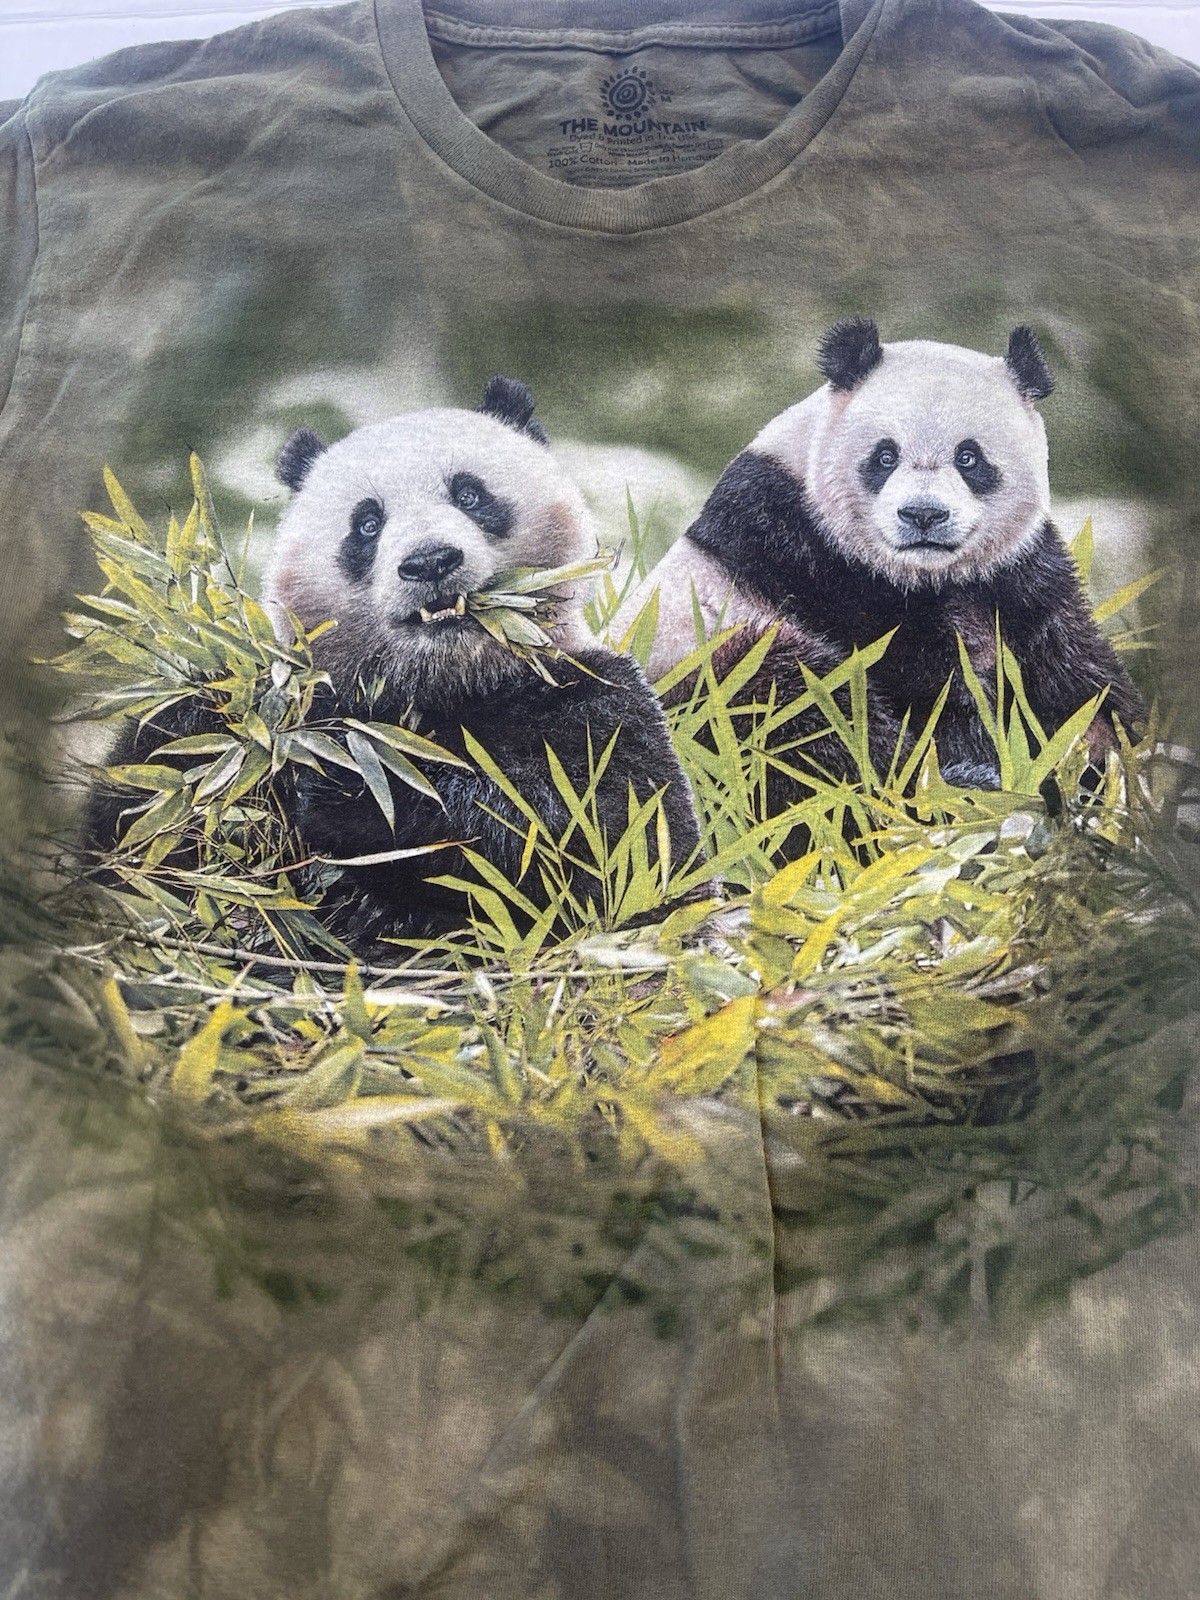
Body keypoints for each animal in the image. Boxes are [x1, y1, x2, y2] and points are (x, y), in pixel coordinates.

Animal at [89, 378, 701, 950]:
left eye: (469, 494)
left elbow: (607, 849)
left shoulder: (594, 700)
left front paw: (354, 791)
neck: (443, 684)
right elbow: (137, 820)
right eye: (367, 523)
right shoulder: (305, 698)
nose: (429, 561)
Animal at [615, 320, 1145, 787]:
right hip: (699, 666)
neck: (930, 574)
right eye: (885, 456)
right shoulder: (805, 554)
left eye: (969, 457)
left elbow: (1075, 670)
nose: (923, 514)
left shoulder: (1017, 572)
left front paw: (1104, 754)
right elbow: (918, 678)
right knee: (791, 712)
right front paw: (980, 755)